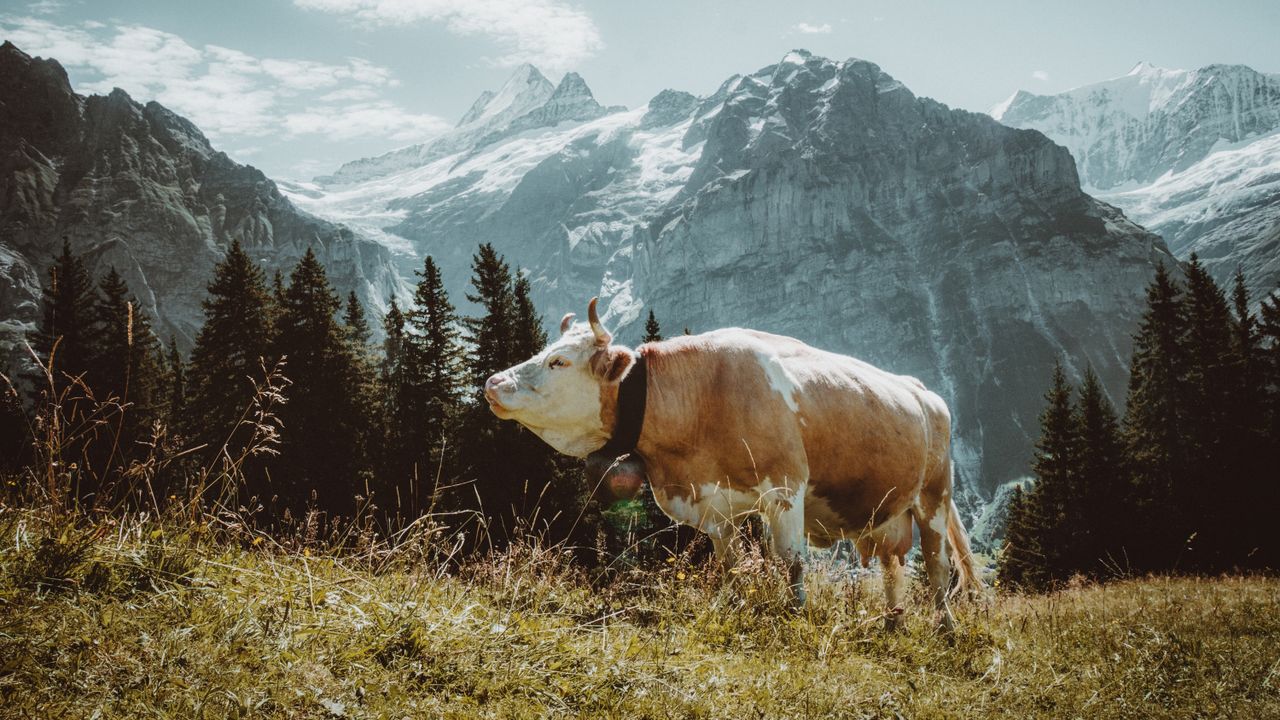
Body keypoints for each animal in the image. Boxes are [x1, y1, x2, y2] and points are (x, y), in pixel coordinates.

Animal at [484, 298, 983, 631]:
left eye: (558, 361)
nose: (492, 382)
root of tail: (924, 392)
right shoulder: (715, 507)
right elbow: (728, 564)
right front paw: (731, 605)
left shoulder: (785, 487)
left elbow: (790, 560)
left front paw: (796, 614)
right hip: (888, 514)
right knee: (894, 569)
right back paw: (893, 624)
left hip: (933, 498)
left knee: (937, 569)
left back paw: (945, 629)